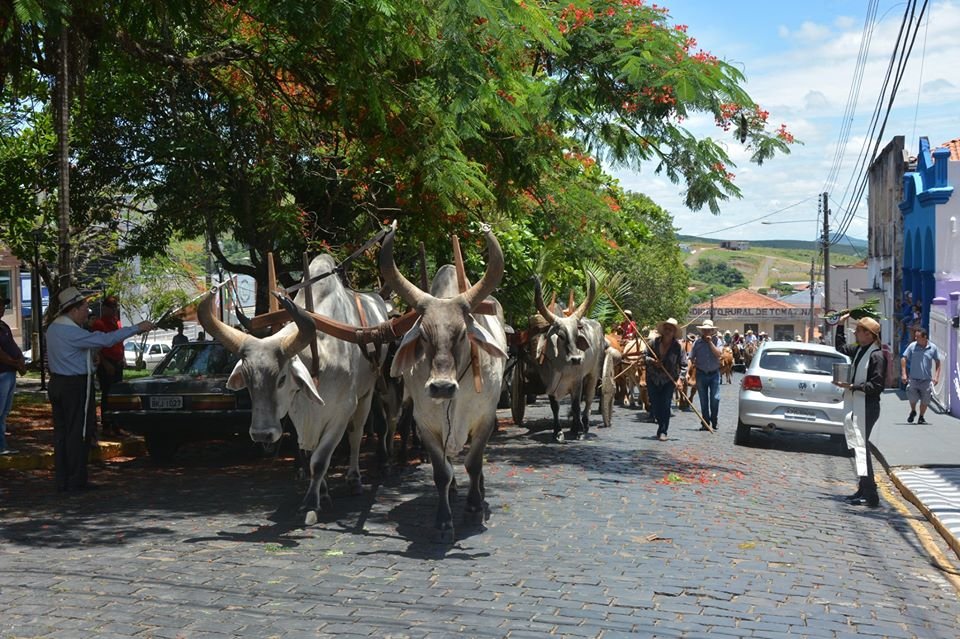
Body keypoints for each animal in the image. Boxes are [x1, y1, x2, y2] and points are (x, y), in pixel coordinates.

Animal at [198, 254, 391, 525]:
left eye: (281, 379)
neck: (320, 355)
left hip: (368, 391)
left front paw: (311, 504)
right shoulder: (299, 414)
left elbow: (320, 460)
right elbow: (309, 455)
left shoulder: (341, 412)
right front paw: (322, 493)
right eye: (247, 379)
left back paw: (356, 477)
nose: (262, 435)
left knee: (358, 434)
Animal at [531, 274, 605, 443]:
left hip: (593, 373)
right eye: (561, 336)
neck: (562, 366)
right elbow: (555, 407)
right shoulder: (548, 383)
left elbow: (577, 405)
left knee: (588, 399)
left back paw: (584, 425)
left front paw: (578, 432)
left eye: (577, 335)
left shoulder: (577, 381)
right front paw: (557, 432)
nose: (576, 359)